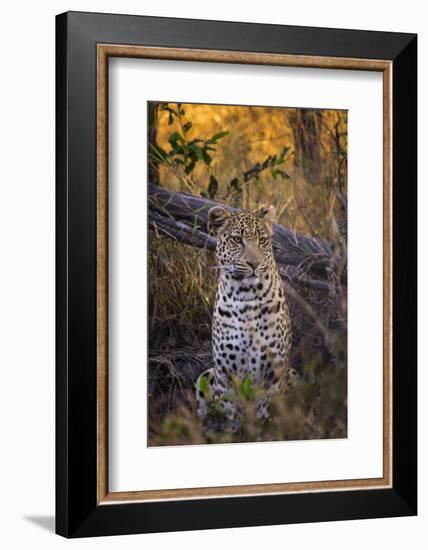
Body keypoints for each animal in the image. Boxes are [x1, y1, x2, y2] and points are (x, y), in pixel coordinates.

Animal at [195, 204, 298, 426]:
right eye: (236, 240)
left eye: (263, 240)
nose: (254, 263)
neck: (246, 298)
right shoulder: (225, 376)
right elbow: (231, 417)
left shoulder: (274, 375)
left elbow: (266, 416)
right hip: (206, 375)